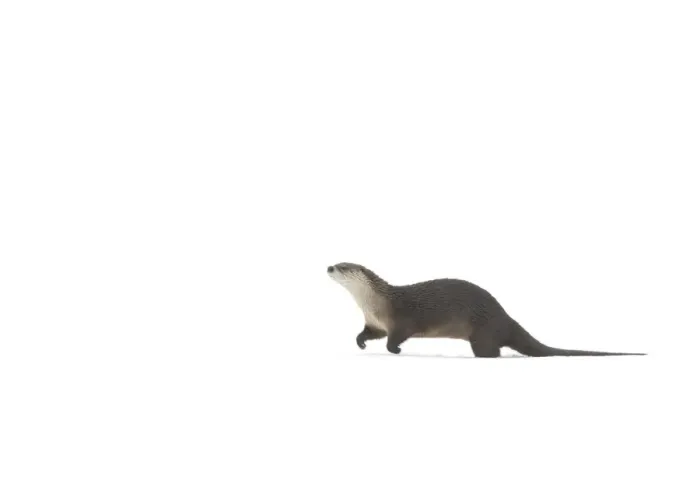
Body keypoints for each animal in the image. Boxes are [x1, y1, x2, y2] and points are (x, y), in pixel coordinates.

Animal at [327, 262, 645, 357]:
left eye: (343, 266)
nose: (329, 266)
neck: (374, 304)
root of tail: (505, 317)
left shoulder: (401, 320)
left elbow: (396, 338)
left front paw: (396, 351)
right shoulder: (375, 323)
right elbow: (368, 334)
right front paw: (360, 343)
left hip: (482, 332)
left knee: (492, 351)